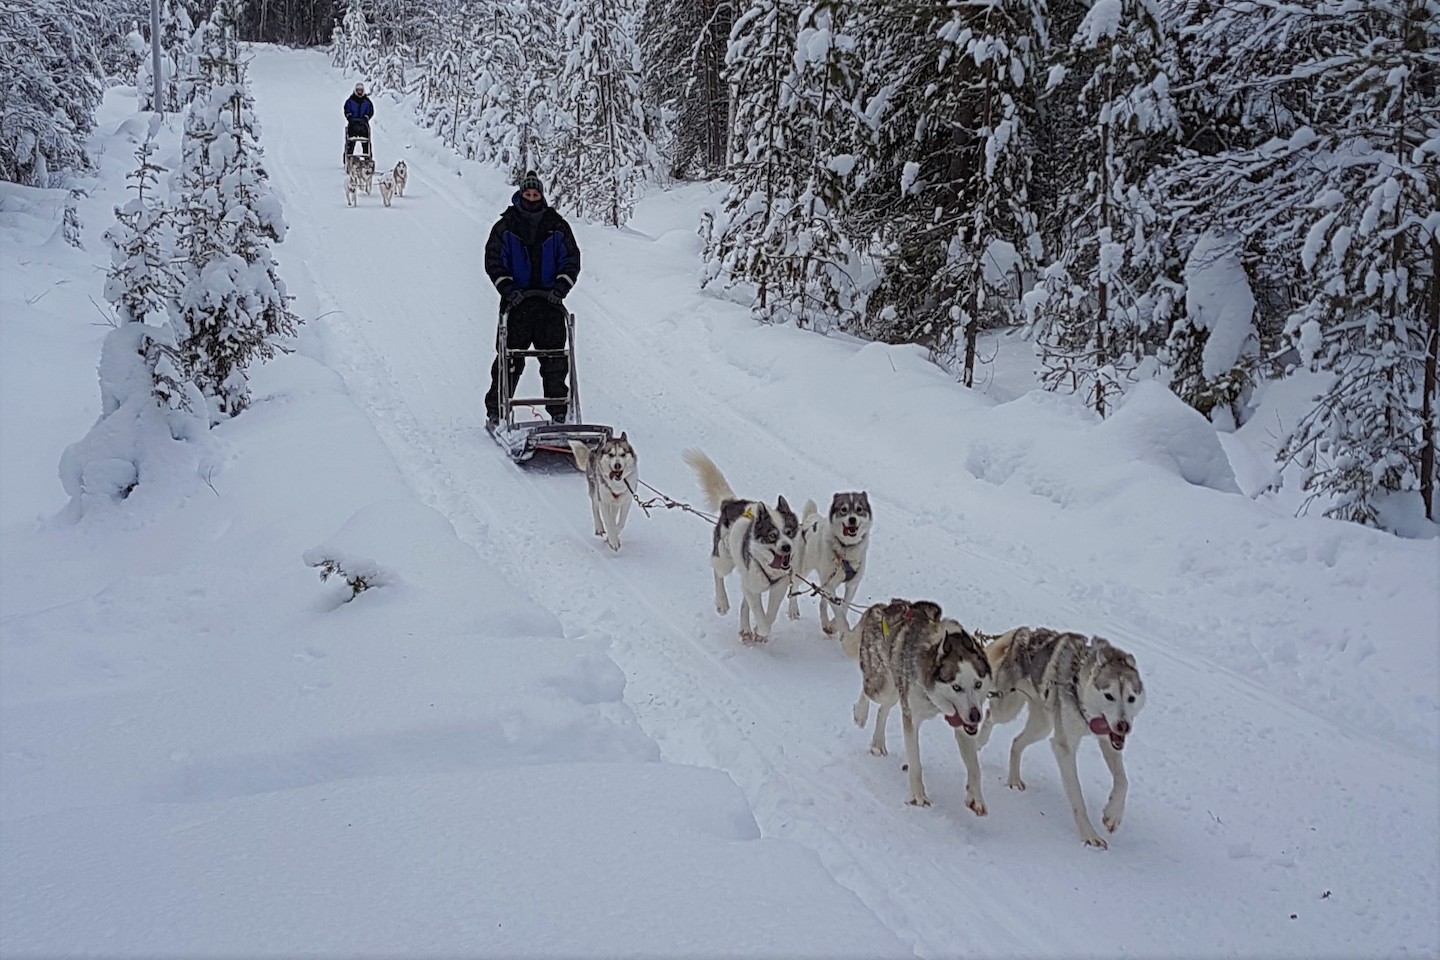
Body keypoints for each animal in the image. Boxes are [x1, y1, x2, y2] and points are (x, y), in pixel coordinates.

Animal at [682, 451, 800, 644]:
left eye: (789, 532)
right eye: (772, 535)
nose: (786, 547)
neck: (769, 568)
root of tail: (730, 503)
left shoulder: (778, 587)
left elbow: (770, 614)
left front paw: (757, 630)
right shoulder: (753, 586)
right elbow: (761, 617)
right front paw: (761, 630)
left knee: (745, 603)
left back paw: (745, 628)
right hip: (725, 559)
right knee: (717, 571)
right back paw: (722, 602)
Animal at [789, 495, 875, 639]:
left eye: (859, 509)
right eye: (843, 509)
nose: (852, 519)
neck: (845, 550)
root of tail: (810, 518)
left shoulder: (852, 585)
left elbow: (844, 607)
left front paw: (833, 626)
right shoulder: (829, 585)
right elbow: (839, 611)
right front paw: (843, 629)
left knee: (822, 602)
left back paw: (825, 623)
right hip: (802, 570)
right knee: (793, 589)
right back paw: (793, 610)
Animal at [846, 604, 996, 817]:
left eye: (978, 684)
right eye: (956, 687)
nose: (976, 716)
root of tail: (881, 607)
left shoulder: (963, 725)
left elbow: (975, 768)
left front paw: (976, 798)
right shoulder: (912, 719)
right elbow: (915, 764)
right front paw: (918, 796)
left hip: (896, 691)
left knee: (883, 710)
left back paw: (878, 743)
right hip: (884, 687)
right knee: (868, 690)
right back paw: (860, 713)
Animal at [979, 630, 1146, 846]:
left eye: (1131, 698)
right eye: (1109, 696)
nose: (1123, 726)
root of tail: (1024, 633)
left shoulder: (1109, 742)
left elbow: (1123, 781)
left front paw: (1113, 816)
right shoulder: (1064, 748)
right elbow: (1077, 798)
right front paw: (1089, 835)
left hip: (1042, 726)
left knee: (1016, 742)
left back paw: (1014, 779)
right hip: (1008, 709)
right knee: (989, 716)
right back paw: (978, 742)